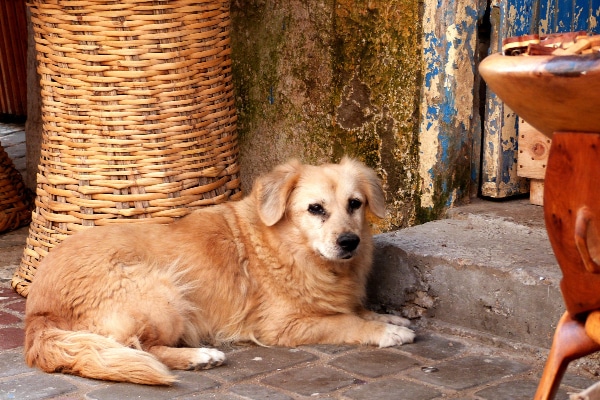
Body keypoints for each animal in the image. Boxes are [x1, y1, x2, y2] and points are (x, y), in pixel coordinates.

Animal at [24, 156, 418, 384]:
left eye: (355, 204)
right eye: (315, 209)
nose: (350, 242)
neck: (291, 249)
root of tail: (36, 311)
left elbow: (358, 310)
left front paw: (388, 317)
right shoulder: (282, 327)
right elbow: (345, 321)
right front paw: (385, 331)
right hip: (163, 290)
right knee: (141, 347)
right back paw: (199, 356)